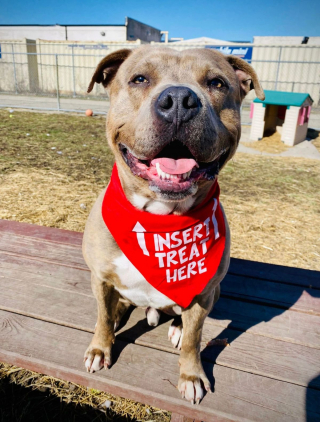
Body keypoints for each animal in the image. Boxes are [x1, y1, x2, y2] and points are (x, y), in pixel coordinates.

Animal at [82, 46, 264, 406]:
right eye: (139, 79)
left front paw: (191, 375)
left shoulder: (204, 293)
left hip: (212, 292)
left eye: (217, 83)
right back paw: (121, 311)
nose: (179, 99)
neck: (160, 219)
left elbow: (195, 338)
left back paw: (175, 326)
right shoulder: (100, 277)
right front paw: (100, 348)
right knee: (116, 306)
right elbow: (101, 319)